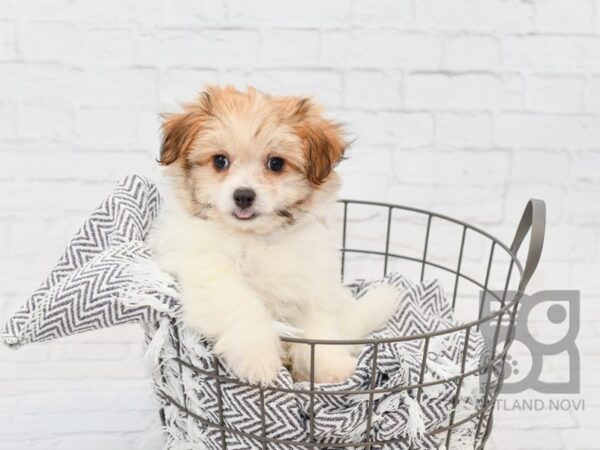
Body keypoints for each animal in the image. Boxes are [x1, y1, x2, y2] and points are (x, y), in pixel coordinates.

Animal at [148, 86, 396, 384]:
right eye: (220, 161)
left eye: (276, 163)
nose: (243, 196)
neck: (255, 238)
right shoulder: (206, 265)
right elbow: (241, 303)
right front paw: (259, 358)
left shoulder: (313, 282)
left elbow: (320, 328)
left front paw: (331, 367)